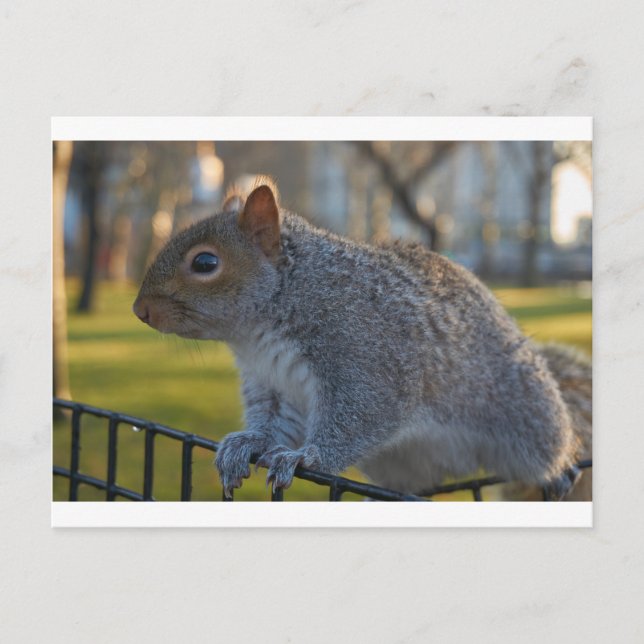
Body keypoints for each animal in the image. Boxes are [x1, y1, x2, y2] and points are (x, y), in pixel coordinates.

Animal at [133, 180, 591, 501]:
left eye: (205, 262)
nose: (139, 310)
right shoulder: (273, 385)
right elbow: (276, 424)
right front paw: (246, 443)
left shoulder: (367, 353)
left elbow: (364, 414)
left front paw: (308, 457)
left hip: (529, 413)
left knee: (550, 443)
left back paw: (562, 467)